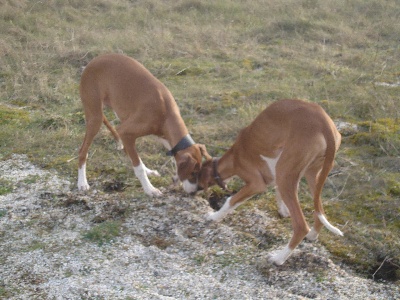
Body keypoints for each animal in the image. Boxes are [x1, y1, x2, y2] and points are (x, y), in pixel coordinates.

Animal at [76, 53, 211, 196]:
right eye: (193, 172)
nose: (195, 192)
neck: (166, 112)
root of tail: (93, 61)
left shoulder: (161, 136)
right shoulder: (125, 131)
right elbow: (138, 167)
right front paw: (149, 189)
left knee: (127, 150)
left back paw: (148, 171)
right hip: (95, 118)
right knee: (83, 151)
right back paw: (82, 183)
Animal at [198, 99, 342, 264]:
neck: (235, 155)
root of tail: (324, 123)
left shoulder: (257, 184)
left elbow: (230, 201)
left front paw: (214, 216)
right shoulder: (279, 177)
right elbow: (278, 194)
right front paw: (283, 211)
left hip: (285, 173)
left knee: (301, 226)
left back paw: (278, 258)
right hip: (311, 174)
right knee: (320, 211)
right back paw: (312, 235)